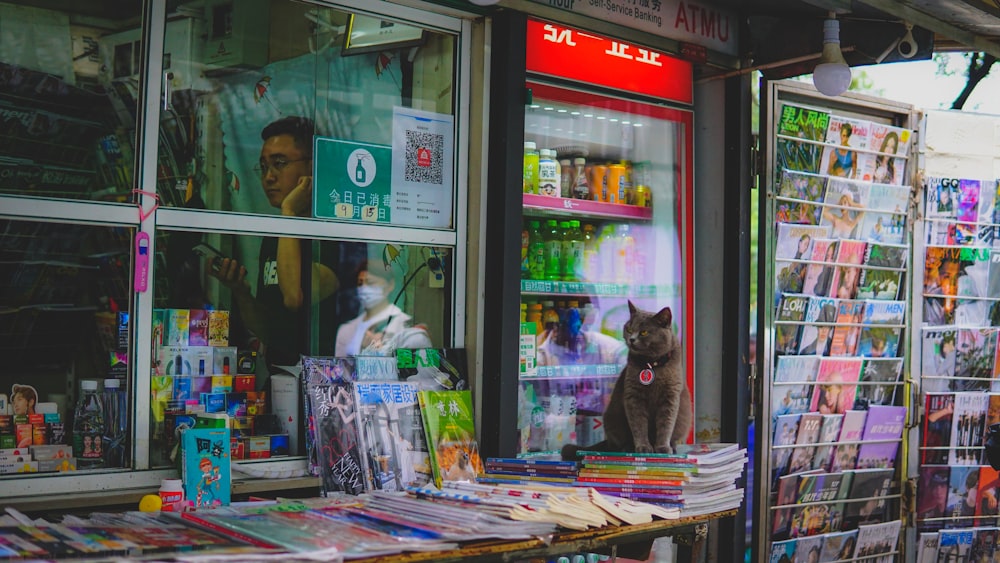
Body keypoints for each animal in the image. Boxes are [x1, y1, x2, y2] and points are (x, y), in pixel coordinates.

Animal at [564, 302, 696, 460]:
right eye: (629, 329)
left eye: (644, 332)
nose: (631, 339)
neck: (652, 364)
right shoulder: (634, 396)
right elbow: (638, 424)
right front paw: (643, 447)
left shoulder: (670, 396)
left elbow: (666, 424)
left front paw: (662, 448)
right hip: (612, 418)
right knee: (617, 443)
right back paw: (628, 447)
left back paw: (673, 447)